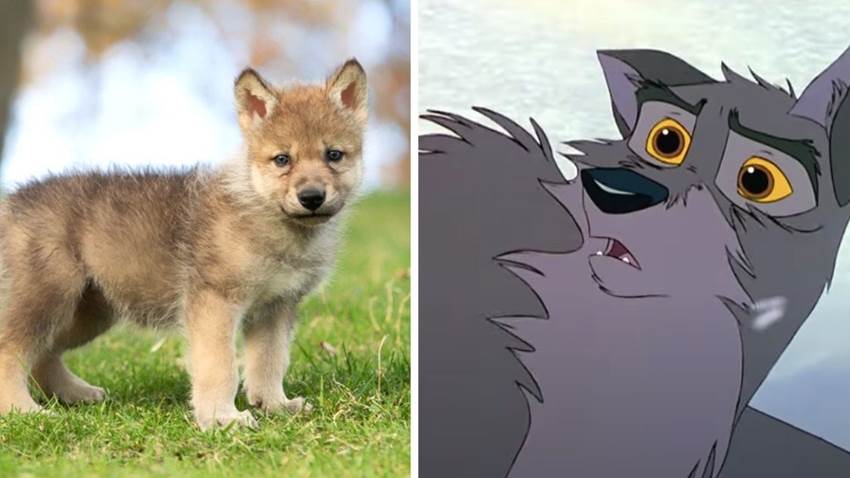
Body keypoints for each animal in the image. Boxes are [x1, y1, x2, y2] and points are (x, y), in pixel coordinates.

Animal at [0, 58, 367, 430]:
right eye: (282, 159)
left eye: (333, 155)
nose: (312, 197)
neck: (265, 215)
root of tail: (12, 202)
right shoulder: (215, 301)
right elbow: (221, 366)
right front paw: (222, 418)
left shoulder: (275, 307)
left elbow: (270, 362)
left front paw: (275, 405)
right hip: (49, 296)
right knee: (12, 349)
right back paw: (23, 409)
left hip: (89, 311)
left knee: (43, 354)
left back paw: (75, 393)